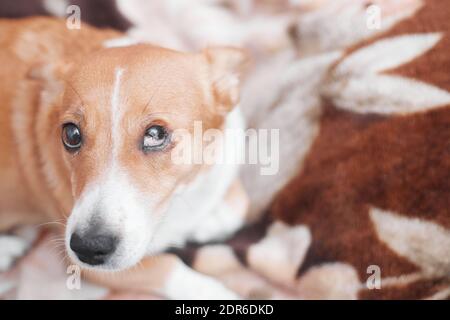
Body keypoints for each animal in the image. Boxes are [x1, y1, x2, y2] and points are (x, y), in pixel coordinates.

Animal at [0, 16, 250, 298]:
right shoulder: (89, 266)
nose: (88, 247)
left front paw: (208, 220)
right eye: (71, 134)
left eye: (155, 134)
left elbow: (239, 202)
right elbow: (169, 267)